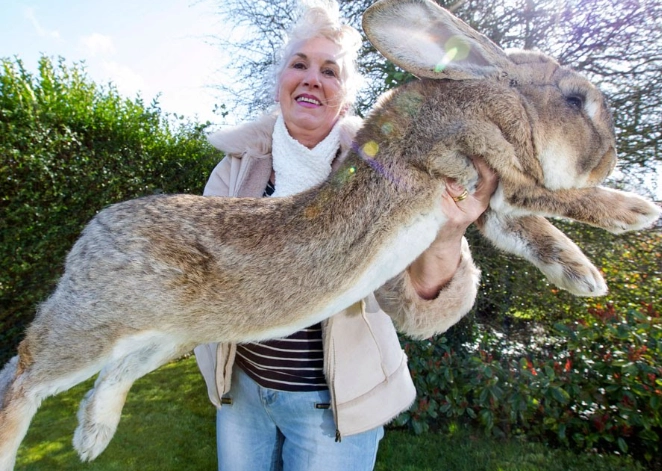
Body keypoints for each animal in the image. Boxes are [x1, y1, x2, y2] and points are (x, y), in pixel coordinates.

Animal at [1, 0, 659, 468]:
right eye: (575, 100)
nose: (610, 158)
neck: (494, 95)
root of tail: (92, 233)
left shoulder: (492, 202)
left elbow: (532, 229)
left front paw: (585, 277)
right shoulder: (482, 160)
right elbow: (553, 197)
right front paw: (635, 210)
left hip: (164, 337)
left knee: (110, 376)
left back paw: (92, 436)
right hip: (98, 323)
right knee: (23, 374)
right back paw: (18, 444)